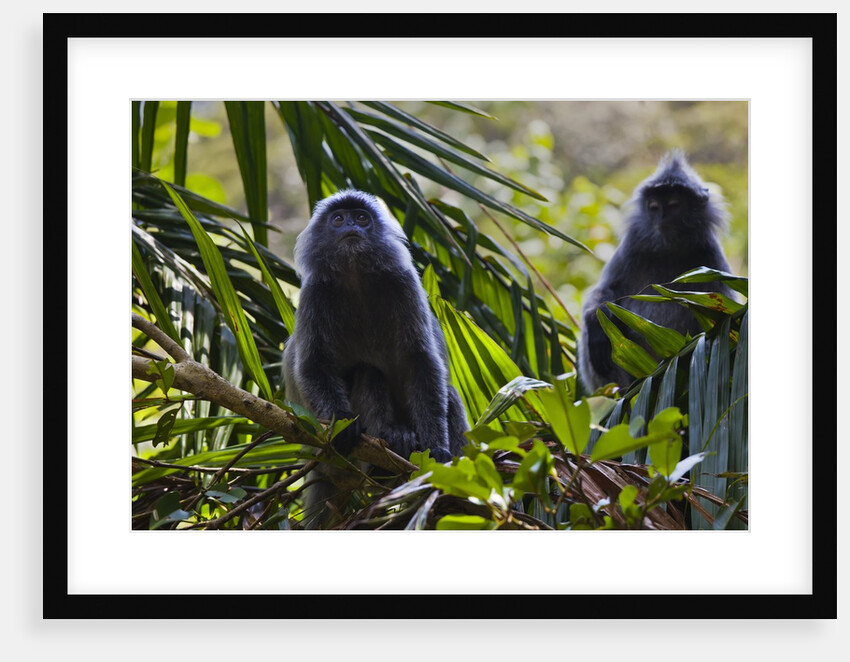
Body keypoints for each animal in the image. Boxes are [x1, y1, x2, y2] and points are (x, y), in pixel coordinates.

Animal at [282, 190, 469, 513]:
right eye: (338, 219)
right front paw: (342, 423)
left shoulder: (404, 283)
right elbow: (312, 365)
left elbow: (422, 362)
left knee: (447, 391)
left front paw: (437, 449)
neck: (355, 275)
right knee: (368, 372)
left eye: (361, 218)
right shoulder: (314, 293)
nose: (350, 227)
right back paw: (389, 442)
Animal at [578, 151, 735, 392]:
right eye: (653, 207)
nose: (661, 218)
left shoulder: (711, 256)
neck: (669, 247)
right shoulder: (633, 244)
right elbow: (606, 289)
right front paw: (597, 320)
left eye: (673, 205)